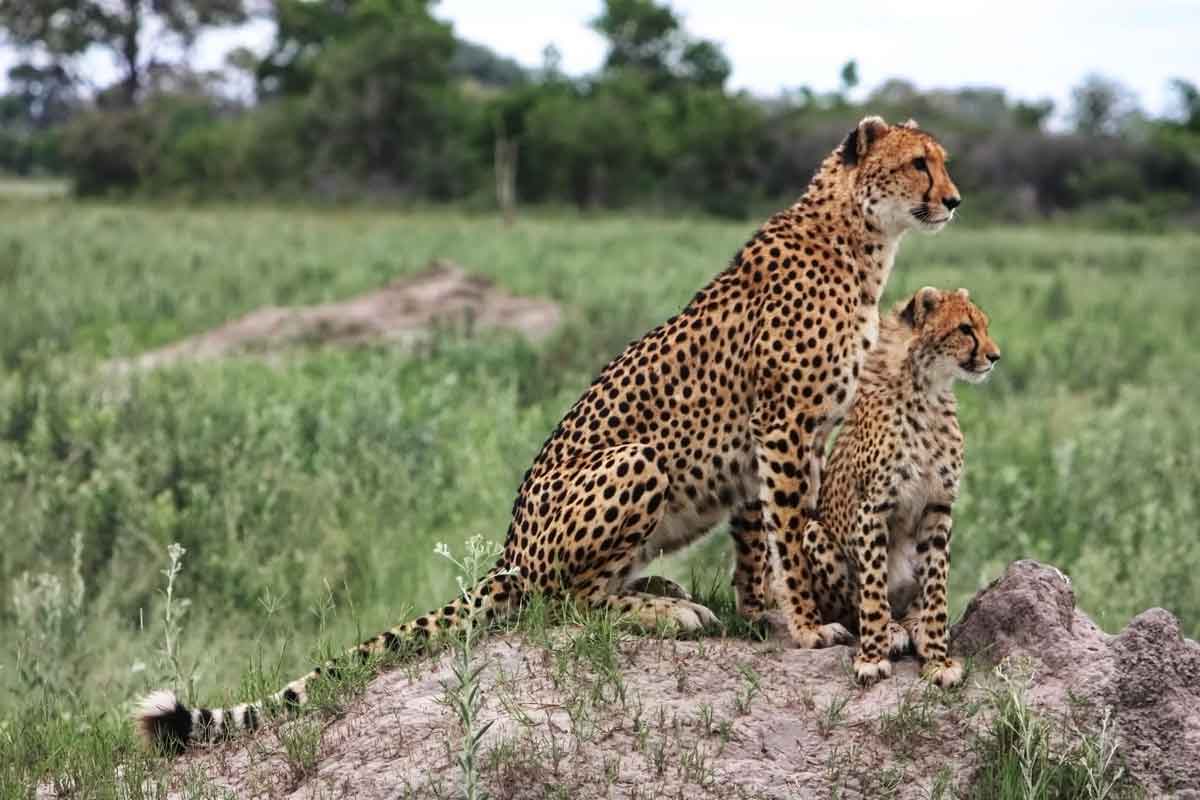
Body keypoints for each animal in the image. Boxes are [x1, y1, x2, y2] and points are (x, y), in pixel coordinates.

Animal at [136, 115, 960, 753]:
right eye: (919, 162)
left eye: (942, 160)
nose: (953, 199)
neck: (857, 237)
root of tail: (507, 552)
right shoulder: (785, 425)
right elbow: (790, 530)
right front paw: (808, 626)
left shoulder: (774, 440)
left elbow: (759, 538)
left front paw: (764, 613)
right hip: (637, 461)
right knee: (564, 606)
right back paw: (664, 609)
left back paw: (660, 587)